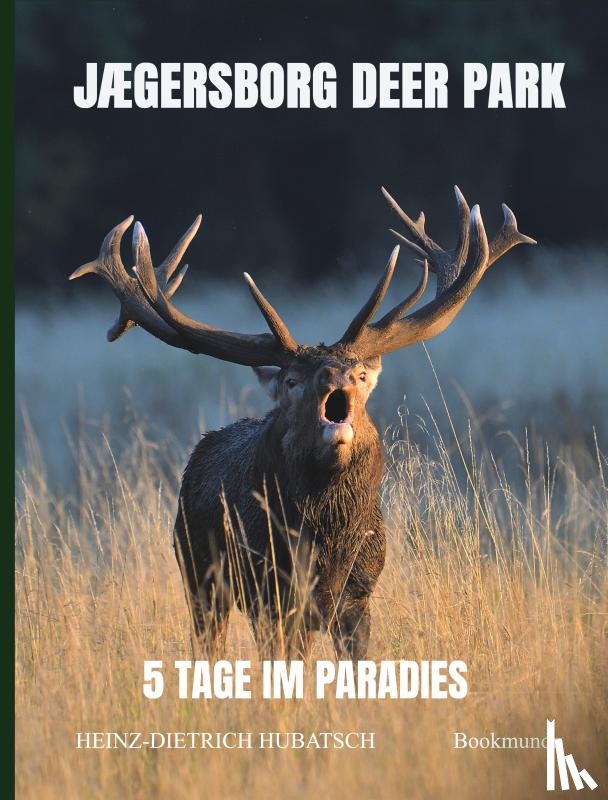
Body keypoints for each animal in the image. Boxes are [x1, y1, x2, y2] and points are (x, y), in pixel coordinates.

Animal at [70, 185, 535, 659]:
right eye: (292, 380)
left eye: (360, 374)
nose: (334, 375)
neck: (327, 543)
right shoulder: (269, 590)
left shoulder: (358, 592)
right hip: (198, 571)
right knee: (209, 639)